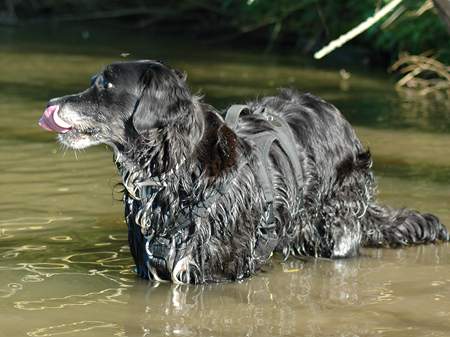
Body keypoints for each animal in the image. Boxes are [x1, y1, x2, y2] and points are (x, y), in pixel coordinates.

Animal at [39, 59, 450, 282]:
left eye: (106, 85)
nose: (51, 102)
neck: (176, 173)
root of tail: (338, 116)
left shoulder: (215, 270)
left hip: (339, 230)